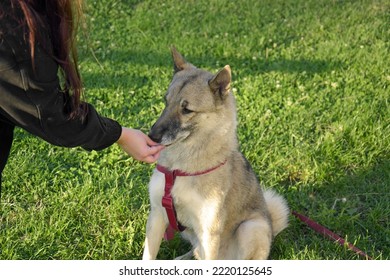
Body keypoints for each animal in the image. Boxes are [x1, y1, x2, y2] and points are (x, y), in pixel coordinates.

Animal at [143, 48, 290, 260]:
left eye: (187, 109)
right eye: (166, 101)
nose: (152, 136)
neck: (180, 169)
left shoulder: (209, 231)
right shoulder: (156, 216)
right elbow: (147, 256)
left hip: (251, 228)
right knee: (195, 251)